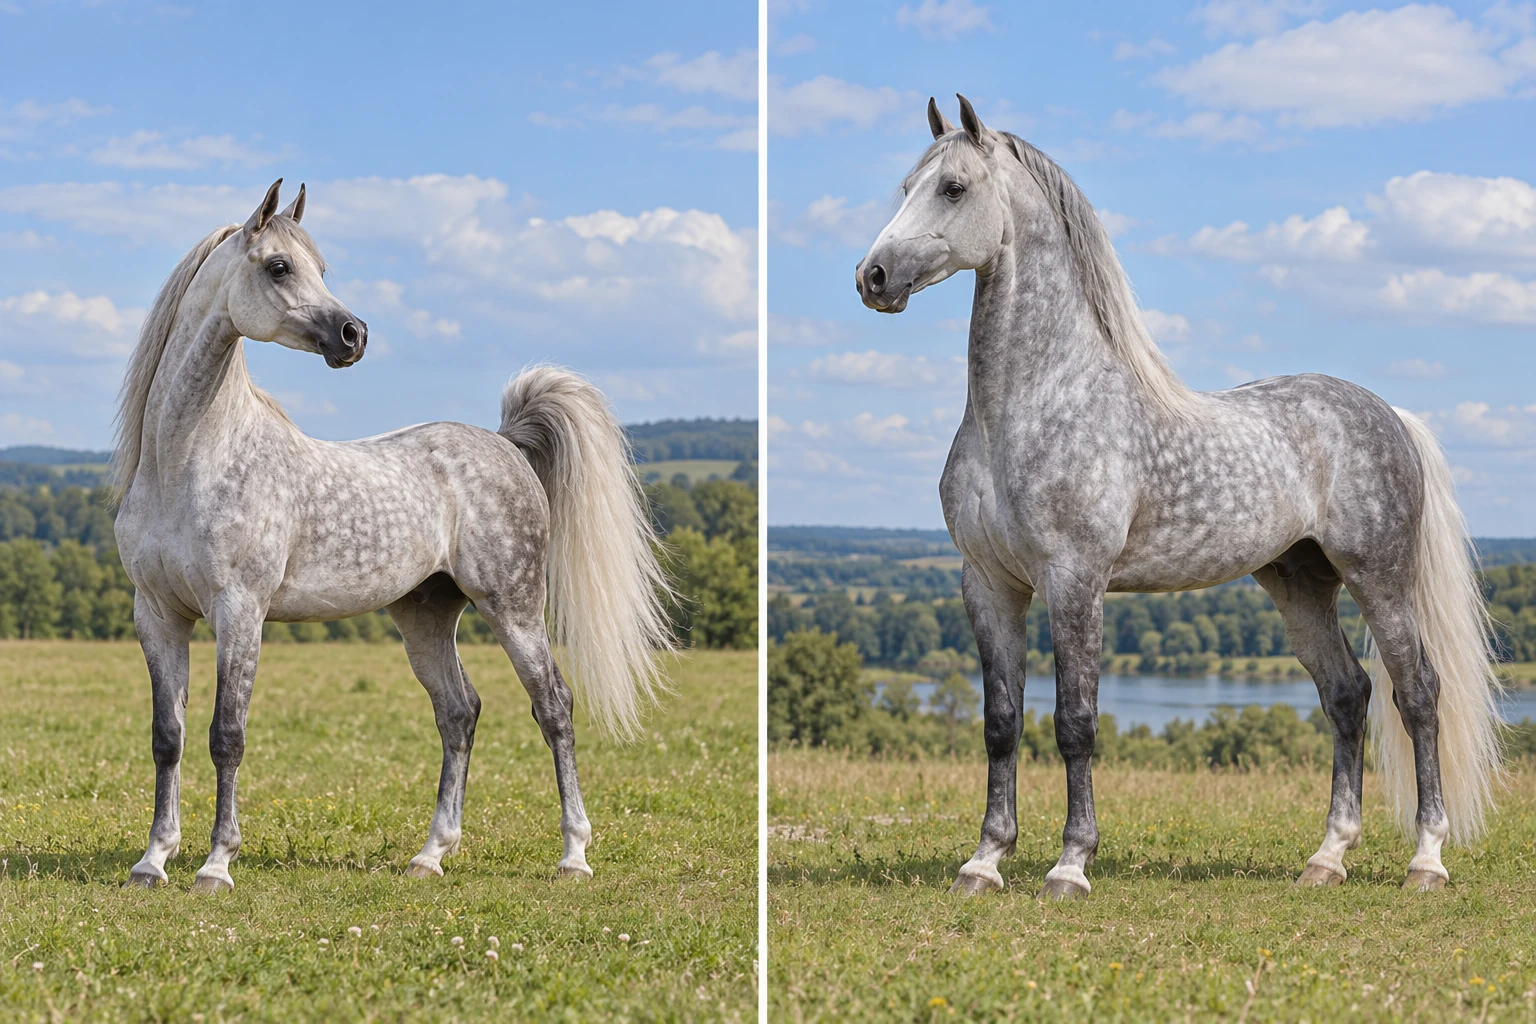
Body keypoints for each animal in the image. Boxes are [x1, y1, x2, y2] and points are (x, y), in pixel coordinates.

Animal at [114, 179, 672, 892]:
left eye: (321, 268)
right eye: (279, 266)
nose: (353, 334)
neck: (188, 460)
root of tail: (506, 444)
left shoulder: (239, 611)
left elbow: (226, 735)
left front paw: (216, 865)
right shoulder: (158, 614)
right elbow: (169, 736)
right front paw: (153, 859)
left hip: (513, 608)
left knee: (554, 707)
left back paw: (573, 854)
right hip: (425, 616)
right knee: (459, 714)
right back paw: (431, 854)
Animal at [854, 96, 1503, 899]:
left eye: (952, 188)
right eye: (907, 185)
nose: (874, 276)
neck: (1029, 407)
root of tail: (1389, 414)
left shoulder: (1075, 580)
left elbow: (1075, 722)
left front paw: (1070, 865)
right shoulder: (989, 584)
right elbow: (1001, 721)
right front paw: (984, 861)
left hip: (1379, 576)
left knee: (1416, 695)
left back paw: (1426, 859)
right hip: (1299, 583)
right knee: (1348, 695)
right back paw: (1327, 858)